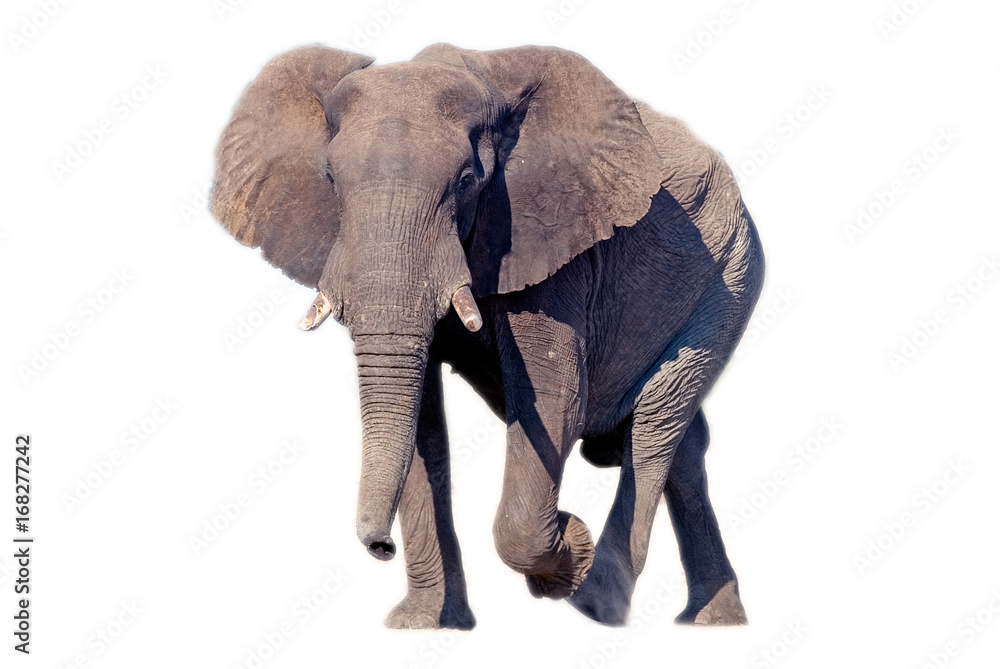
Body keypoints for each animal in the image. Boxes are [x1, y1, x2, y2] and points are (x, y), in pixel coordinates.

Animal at [210, 42, 764, 629]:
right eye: (332, 181)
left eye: (466, 181)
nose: (381, 547)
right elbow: (423, 425)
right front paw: (423, 626)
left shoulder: (547, 235)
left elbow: (553, 399)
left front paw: (568, 550)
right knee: (682, 443)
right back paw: (714, 620)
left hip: (730, 277)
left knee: (654, 425)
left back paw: (599, 604)